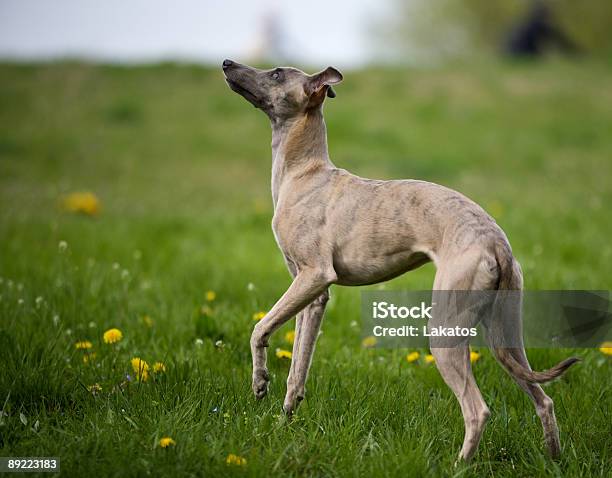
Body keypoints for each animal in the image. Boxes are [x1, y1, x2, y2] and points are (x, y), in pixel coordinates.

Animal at [221, 58, 580, 462]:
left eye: (277, 73)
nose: (227, 63)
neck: (305, 174)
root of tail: (495, 242)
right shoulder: (314, 295)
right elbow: (298, 366)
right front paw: (285, 420)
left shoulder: (314, 275)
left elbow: (259, 329)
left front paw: (259, 383)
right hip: (506, 335)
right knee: (544, 399)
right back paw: (553, 458)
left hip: (445, 332)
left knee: (478, 410)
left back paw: (459, 464)